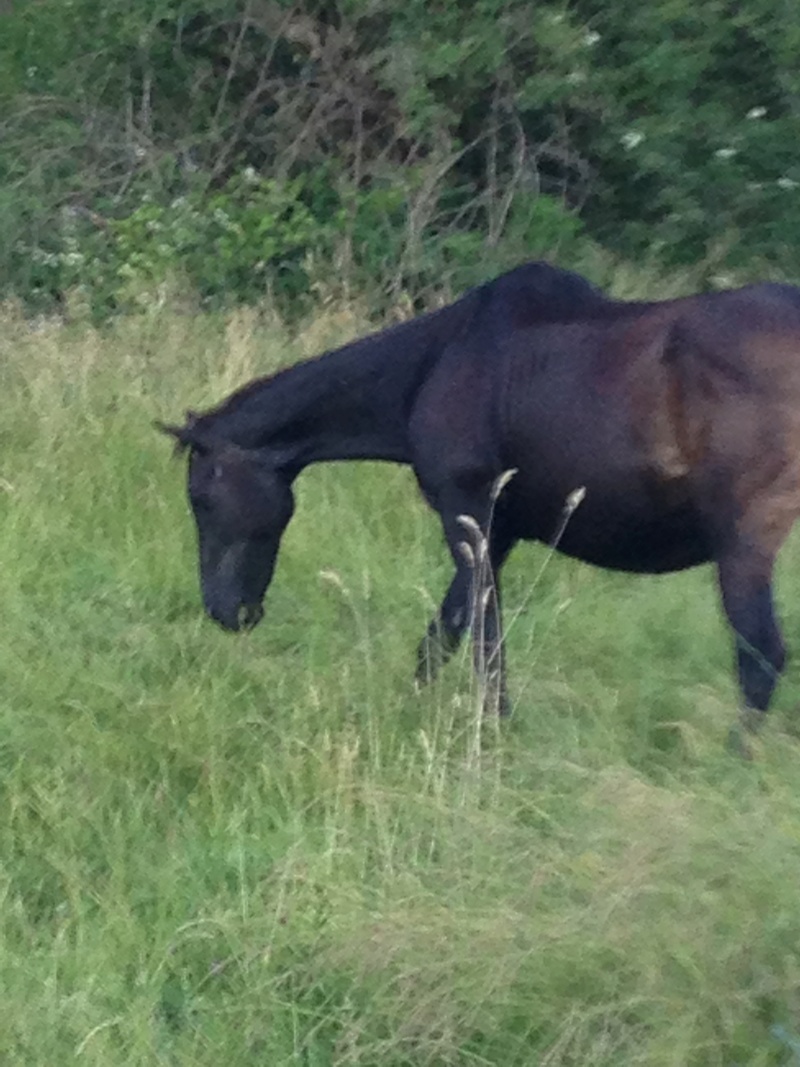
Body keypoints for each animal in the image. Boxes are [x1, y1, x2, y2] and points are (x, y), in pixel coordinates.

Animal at [157, 262, 800, 738]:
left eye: (202, 498)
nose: (226, 611)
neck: (433, 364)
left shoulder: (467, 511)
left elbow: (481, 635)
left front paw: (493, 725)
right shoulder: (500, 526)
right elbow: (445, 631)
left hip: (744, 544)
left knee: (760, 656)